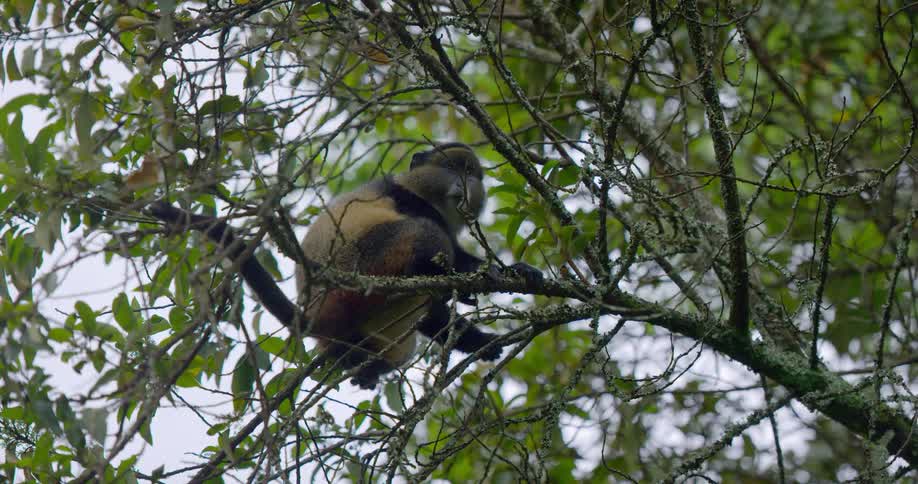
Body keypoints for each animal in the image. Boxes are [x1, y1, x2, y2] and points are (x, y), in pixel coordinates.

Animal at [150, 143, 542, 389]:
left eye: (471, 173)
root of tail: (315, 310)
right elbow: (447, 249)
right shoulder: (410, 202)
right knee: (423, 238)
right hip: (368, 263)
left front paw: (519, 273)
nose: (466, 184)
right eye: (450, 168)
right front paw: (484, 277)